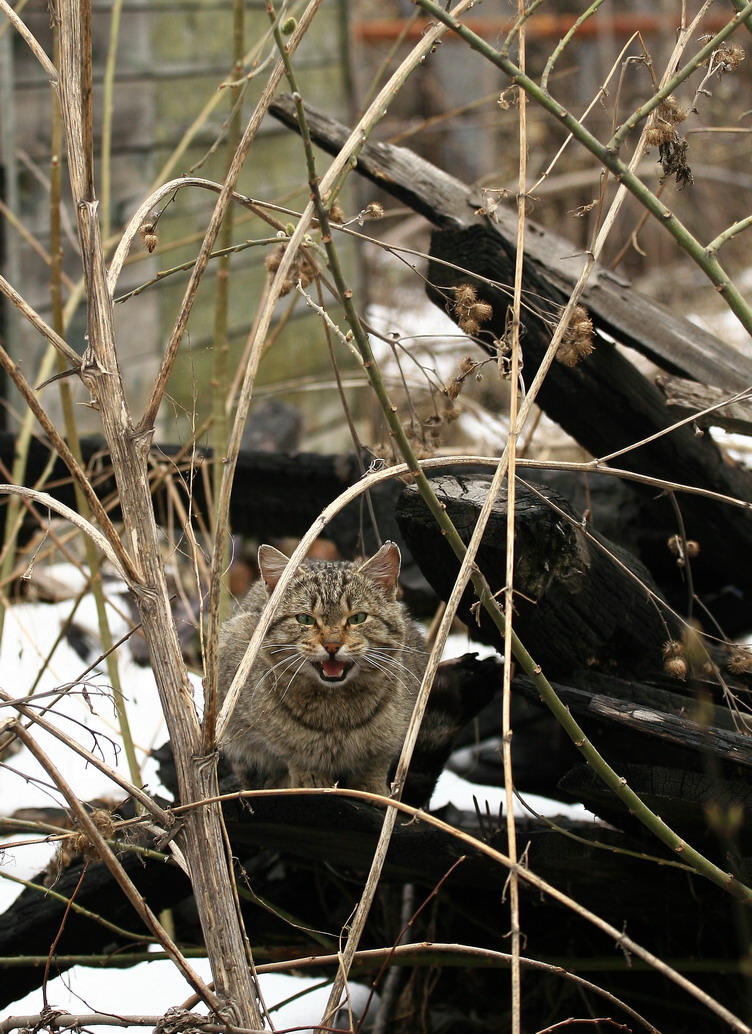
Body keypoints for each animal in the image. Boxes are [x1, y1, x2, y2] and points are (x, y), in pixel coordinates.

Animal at [217, 545, 430, 794]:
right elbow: (295, 757)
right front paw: (311, 780)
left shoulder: (388, 743)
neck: (335, 711)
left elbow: (374, 767)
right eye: (305, 619)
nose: (332, 645)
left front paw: (372, 789)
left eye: (358, 618)